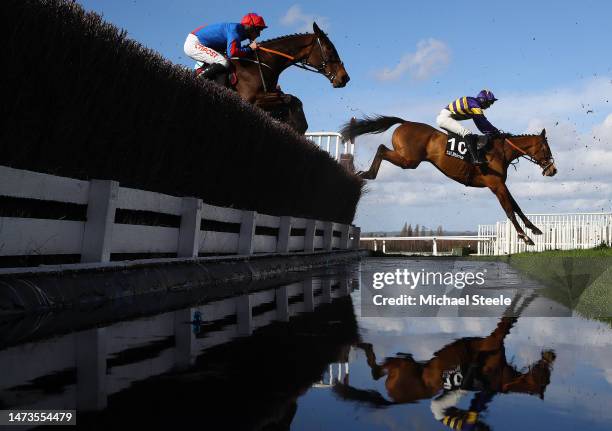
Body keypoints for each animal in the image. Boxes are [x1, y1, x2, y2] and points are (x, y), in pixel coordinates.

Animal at [342, 116, 556, 245]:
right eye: (546, 148)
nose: (553, 170)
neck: (500, 152)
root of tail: (405, 122)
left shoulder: (501, 184)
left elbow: (517, 206)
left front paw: (535, 229)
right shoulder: (496, 185)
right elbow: (509, 210)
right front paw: (524, 237)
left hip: (408, 160)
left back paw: (364, 174)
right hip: (409, 161)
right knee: (380, 148)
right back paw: (366, 174)